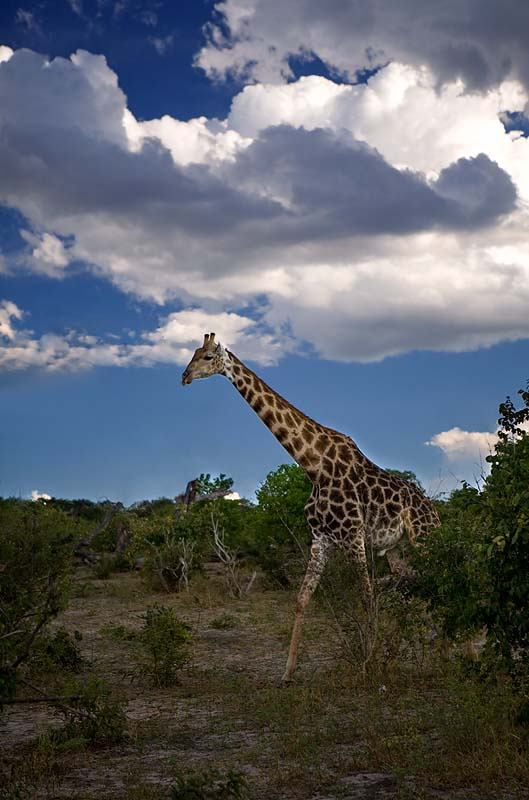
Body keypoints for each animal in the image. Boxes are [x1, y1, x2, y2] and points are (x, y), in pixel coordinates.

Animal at [182, 333, 440, 682]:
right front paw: (287, 672)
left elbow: (367, 596)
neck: (313, 466)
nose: (184, 376)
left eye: (208, 357)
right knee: (413, 584)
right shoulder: (321, 538)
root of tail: (436, 512)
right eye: (194, 353)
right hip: (398, 549)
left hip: (424, 538)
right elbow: (302, 599)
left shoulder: (353, 534)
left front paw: (367, 663)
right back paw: (409, 651)